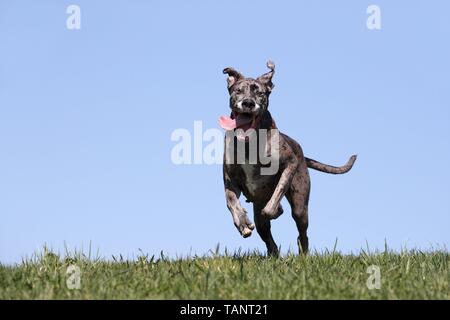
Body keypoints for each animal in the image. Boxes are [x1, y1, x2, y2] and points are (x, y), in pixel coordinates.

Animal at [220, 60, 356, 256]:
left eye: (260, 93)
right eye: (238, 90)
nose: (248, 103)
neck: (249, 143)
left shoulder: (290, 163)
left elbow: (278, 193)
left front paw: (275, 209)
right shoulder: (230, 178)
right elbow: (231, 202)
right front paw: (242, 222)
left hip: (300, 205)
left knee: (302, 232)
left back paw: (302, 252)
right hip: (261, 218)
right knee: (269, 239)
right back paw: (273, 253)